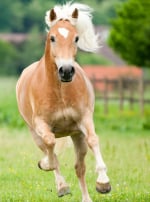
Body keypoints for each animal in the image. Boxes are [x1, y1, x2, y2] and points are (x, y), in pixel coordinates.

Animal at [15, 2, 110, 201]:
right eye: (52, 38)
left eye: (76, 38)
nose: (66, 71)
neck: (60, 92)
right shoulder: (41, 125)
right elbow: (50, 144)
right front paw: (47, 166)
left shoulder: (84, 119)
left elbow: (93, 140)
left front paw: (103, 182)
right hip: (34, 132)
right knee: (48, 149)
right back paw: (61, 185)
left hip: (76, 135)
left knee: (80, 168)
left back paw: (86, 198)